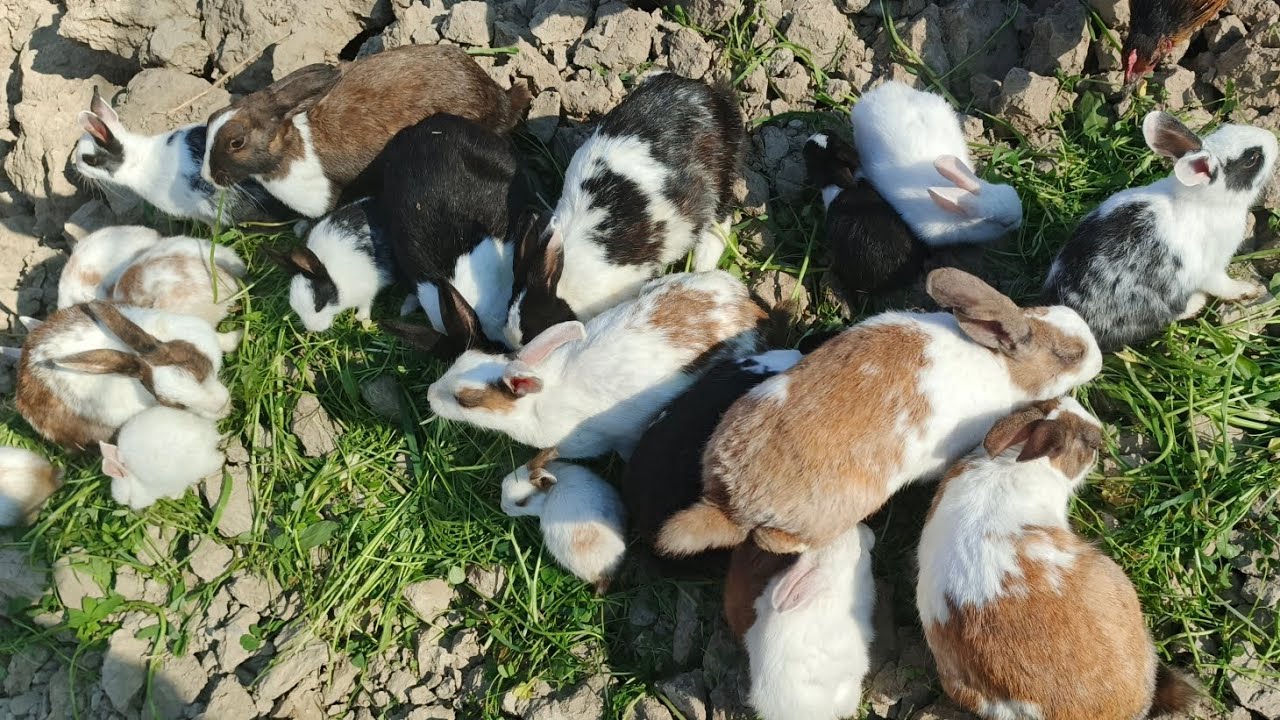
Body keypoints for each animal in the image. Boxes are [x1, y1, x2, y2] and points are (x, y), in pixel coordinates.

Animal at [265, 197, 397, 332]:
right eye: (293, 306)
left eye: (319, 304)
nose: (312, 328)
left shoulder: (369, 288)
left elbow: (366, 303)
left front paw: (361, 318)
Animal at [504, 72, 745, 347]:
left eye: (537, 330)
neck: (565, 280)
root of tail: (711, 95)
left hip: (719, 177)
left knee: (720, 219)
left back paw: (702, 264)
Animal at [1042, 111, 1279, 352]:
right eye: (1252, 159)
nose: (1272, 137)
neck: (1206, 200)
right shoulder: (1211, 269)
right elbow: (1224, 286)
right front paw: (1249, 290)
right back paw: (1196, 302)